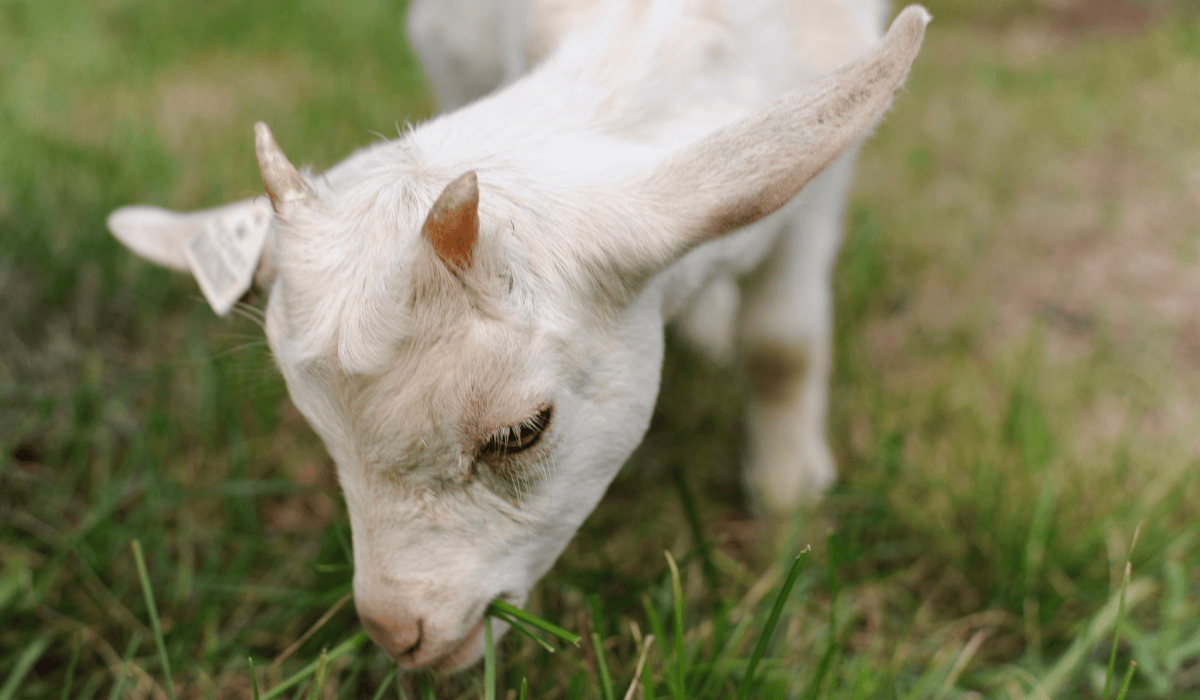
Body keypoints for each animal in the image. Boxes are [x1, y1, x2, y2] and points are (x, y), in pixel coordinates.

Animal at [107, 0, 928, 671]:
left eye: (522, 432)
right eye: (320, 432)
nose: (397, 634)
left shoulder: (821, 180)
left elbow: (782, 344)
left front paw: (790, 501)